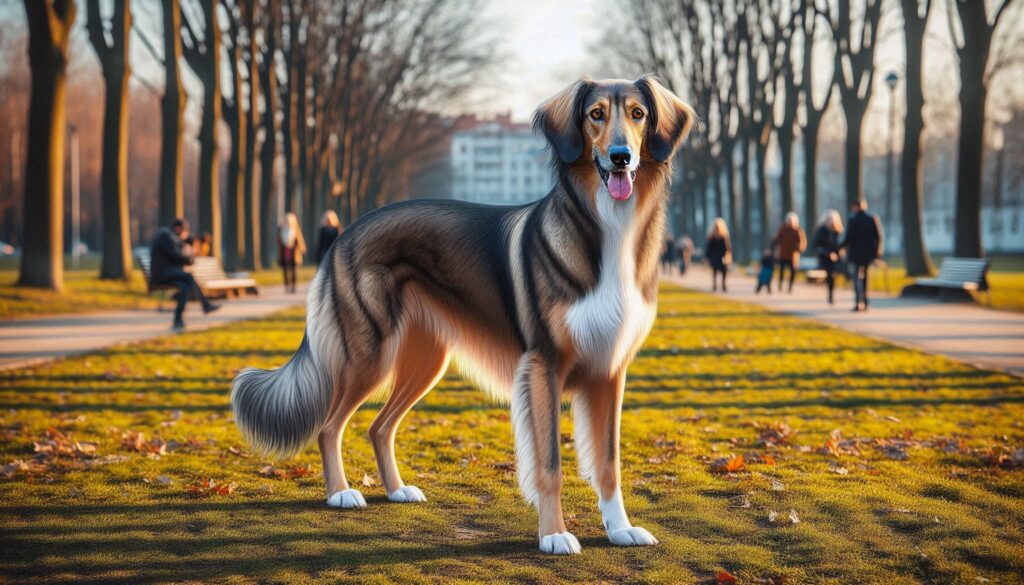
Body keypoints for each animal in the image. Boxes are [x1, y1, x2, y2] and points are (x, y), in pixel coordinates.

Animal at [232, 75, 696, 557]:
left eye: (638, 114)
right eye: (596, 115)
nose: (621, 156)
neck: (606, 229)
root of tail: (346, 232)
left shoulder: (610, 372)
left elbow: (609, 463)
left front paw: (620, 528)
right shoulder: (544, 367)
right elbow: (549, 465)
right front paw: (553, 534)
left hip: (425, 363)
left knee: (379, 427)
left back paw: (396, 490)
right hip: (368, 357)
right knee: (328, 426)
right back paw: (340, 492)